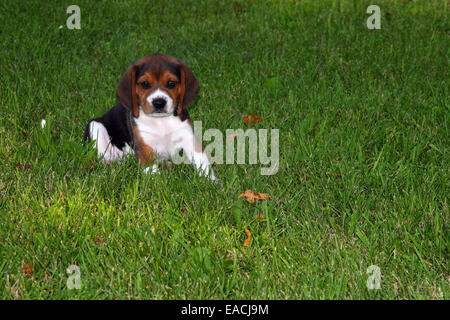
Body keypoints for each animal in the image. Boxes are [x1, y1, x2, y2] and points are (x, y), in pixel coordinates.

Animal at [85, 53, 218, 181]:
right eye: (145, 84)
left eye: (171, 83)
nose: (159, 103)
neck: (161, 121)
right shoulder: (144, 146)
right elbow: (152, 170)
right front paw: (157, 183)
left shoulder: (188, 136)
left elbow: (201, 159)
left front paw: (210, 181)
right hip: (95, 126)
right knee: (104, 156)